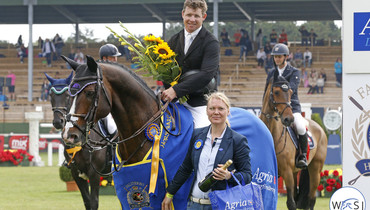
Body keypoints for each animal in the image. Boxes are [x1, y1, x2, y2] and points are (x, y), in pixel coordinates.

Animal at [45, 71, 111, 209]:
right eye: (51, 95)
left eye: (68, 95)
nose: (58, 122)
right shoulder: (76, 173)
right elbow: (87, 201)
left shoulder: (94, 174)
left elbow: (94, 202)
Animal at [258, 76, 328, 210]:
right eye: (276, 92)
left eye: (290, 92)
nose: (289, 119)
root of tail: (319, 127)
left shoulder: (287, 173)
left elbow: (290, 203)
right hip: (295, 173)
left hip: (315, 169)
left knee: (311, 199)